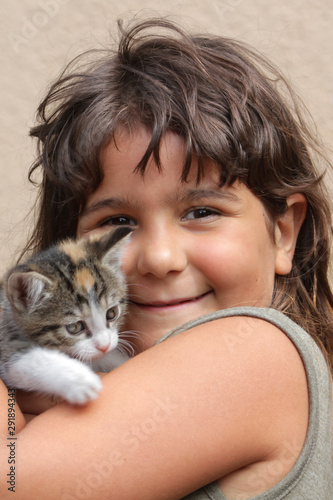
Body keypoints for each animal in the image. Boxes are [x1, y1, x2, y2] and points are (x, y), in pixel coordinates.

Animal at [0, 229, 132, 404]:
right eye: (74, 327)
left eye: (112, 313)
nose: (104, 346)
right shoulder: (6, 341)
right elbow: (28, 360)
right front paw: (80, 380)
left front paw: (120, 360)